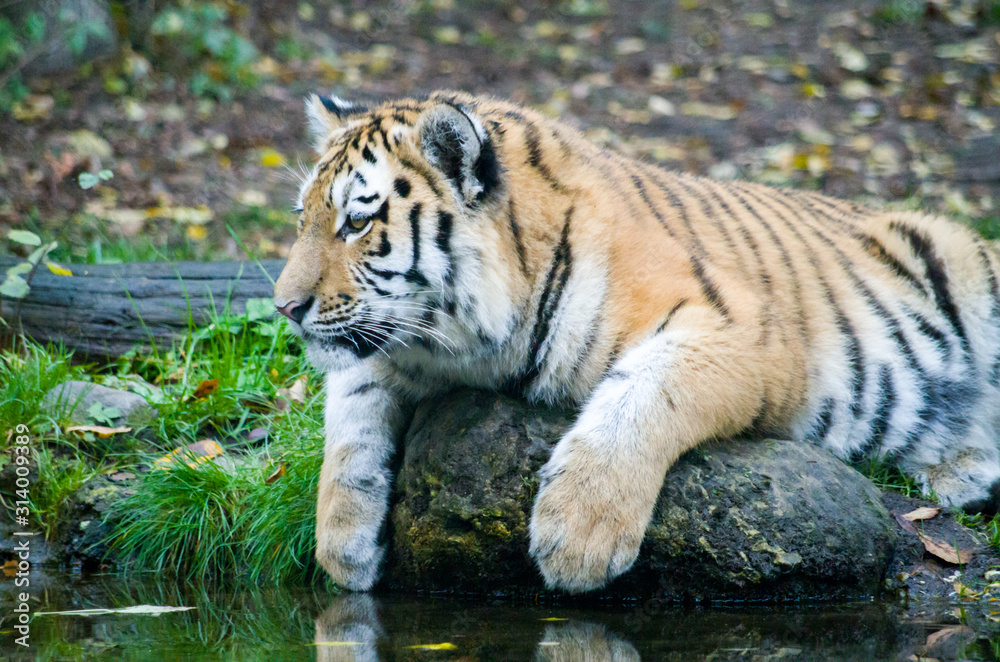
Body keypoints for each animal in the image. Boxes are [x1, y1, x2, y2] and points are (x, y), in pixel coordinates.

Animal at [273, 90, 1000, 593]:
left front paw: (578, 533)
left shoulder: (743, 329)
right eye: (302, 217)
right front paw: (344, 545)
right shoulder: (386, 350)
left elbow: (643, 392)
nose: (285, 307)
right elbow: (349, 426)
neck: (467, 346)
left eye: (357, 223)